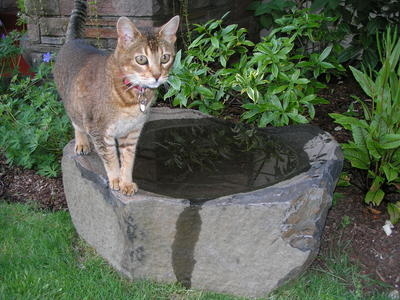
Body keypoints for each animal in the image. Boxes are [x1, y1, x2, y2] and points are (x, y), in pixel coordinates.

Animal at [53, 0, 180, 196]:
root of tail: (74, 40)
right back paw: (82, 143)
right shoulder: (100, 131)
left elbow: (127, 160)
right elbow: (111, 158)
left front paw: (126, 182)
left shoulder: (132, 131)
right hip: (73, 106)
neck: (131, 96)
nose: (157, 75)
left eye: (165, 58)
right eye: (141, 59)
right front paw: (115, 180)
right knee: (76, 123)